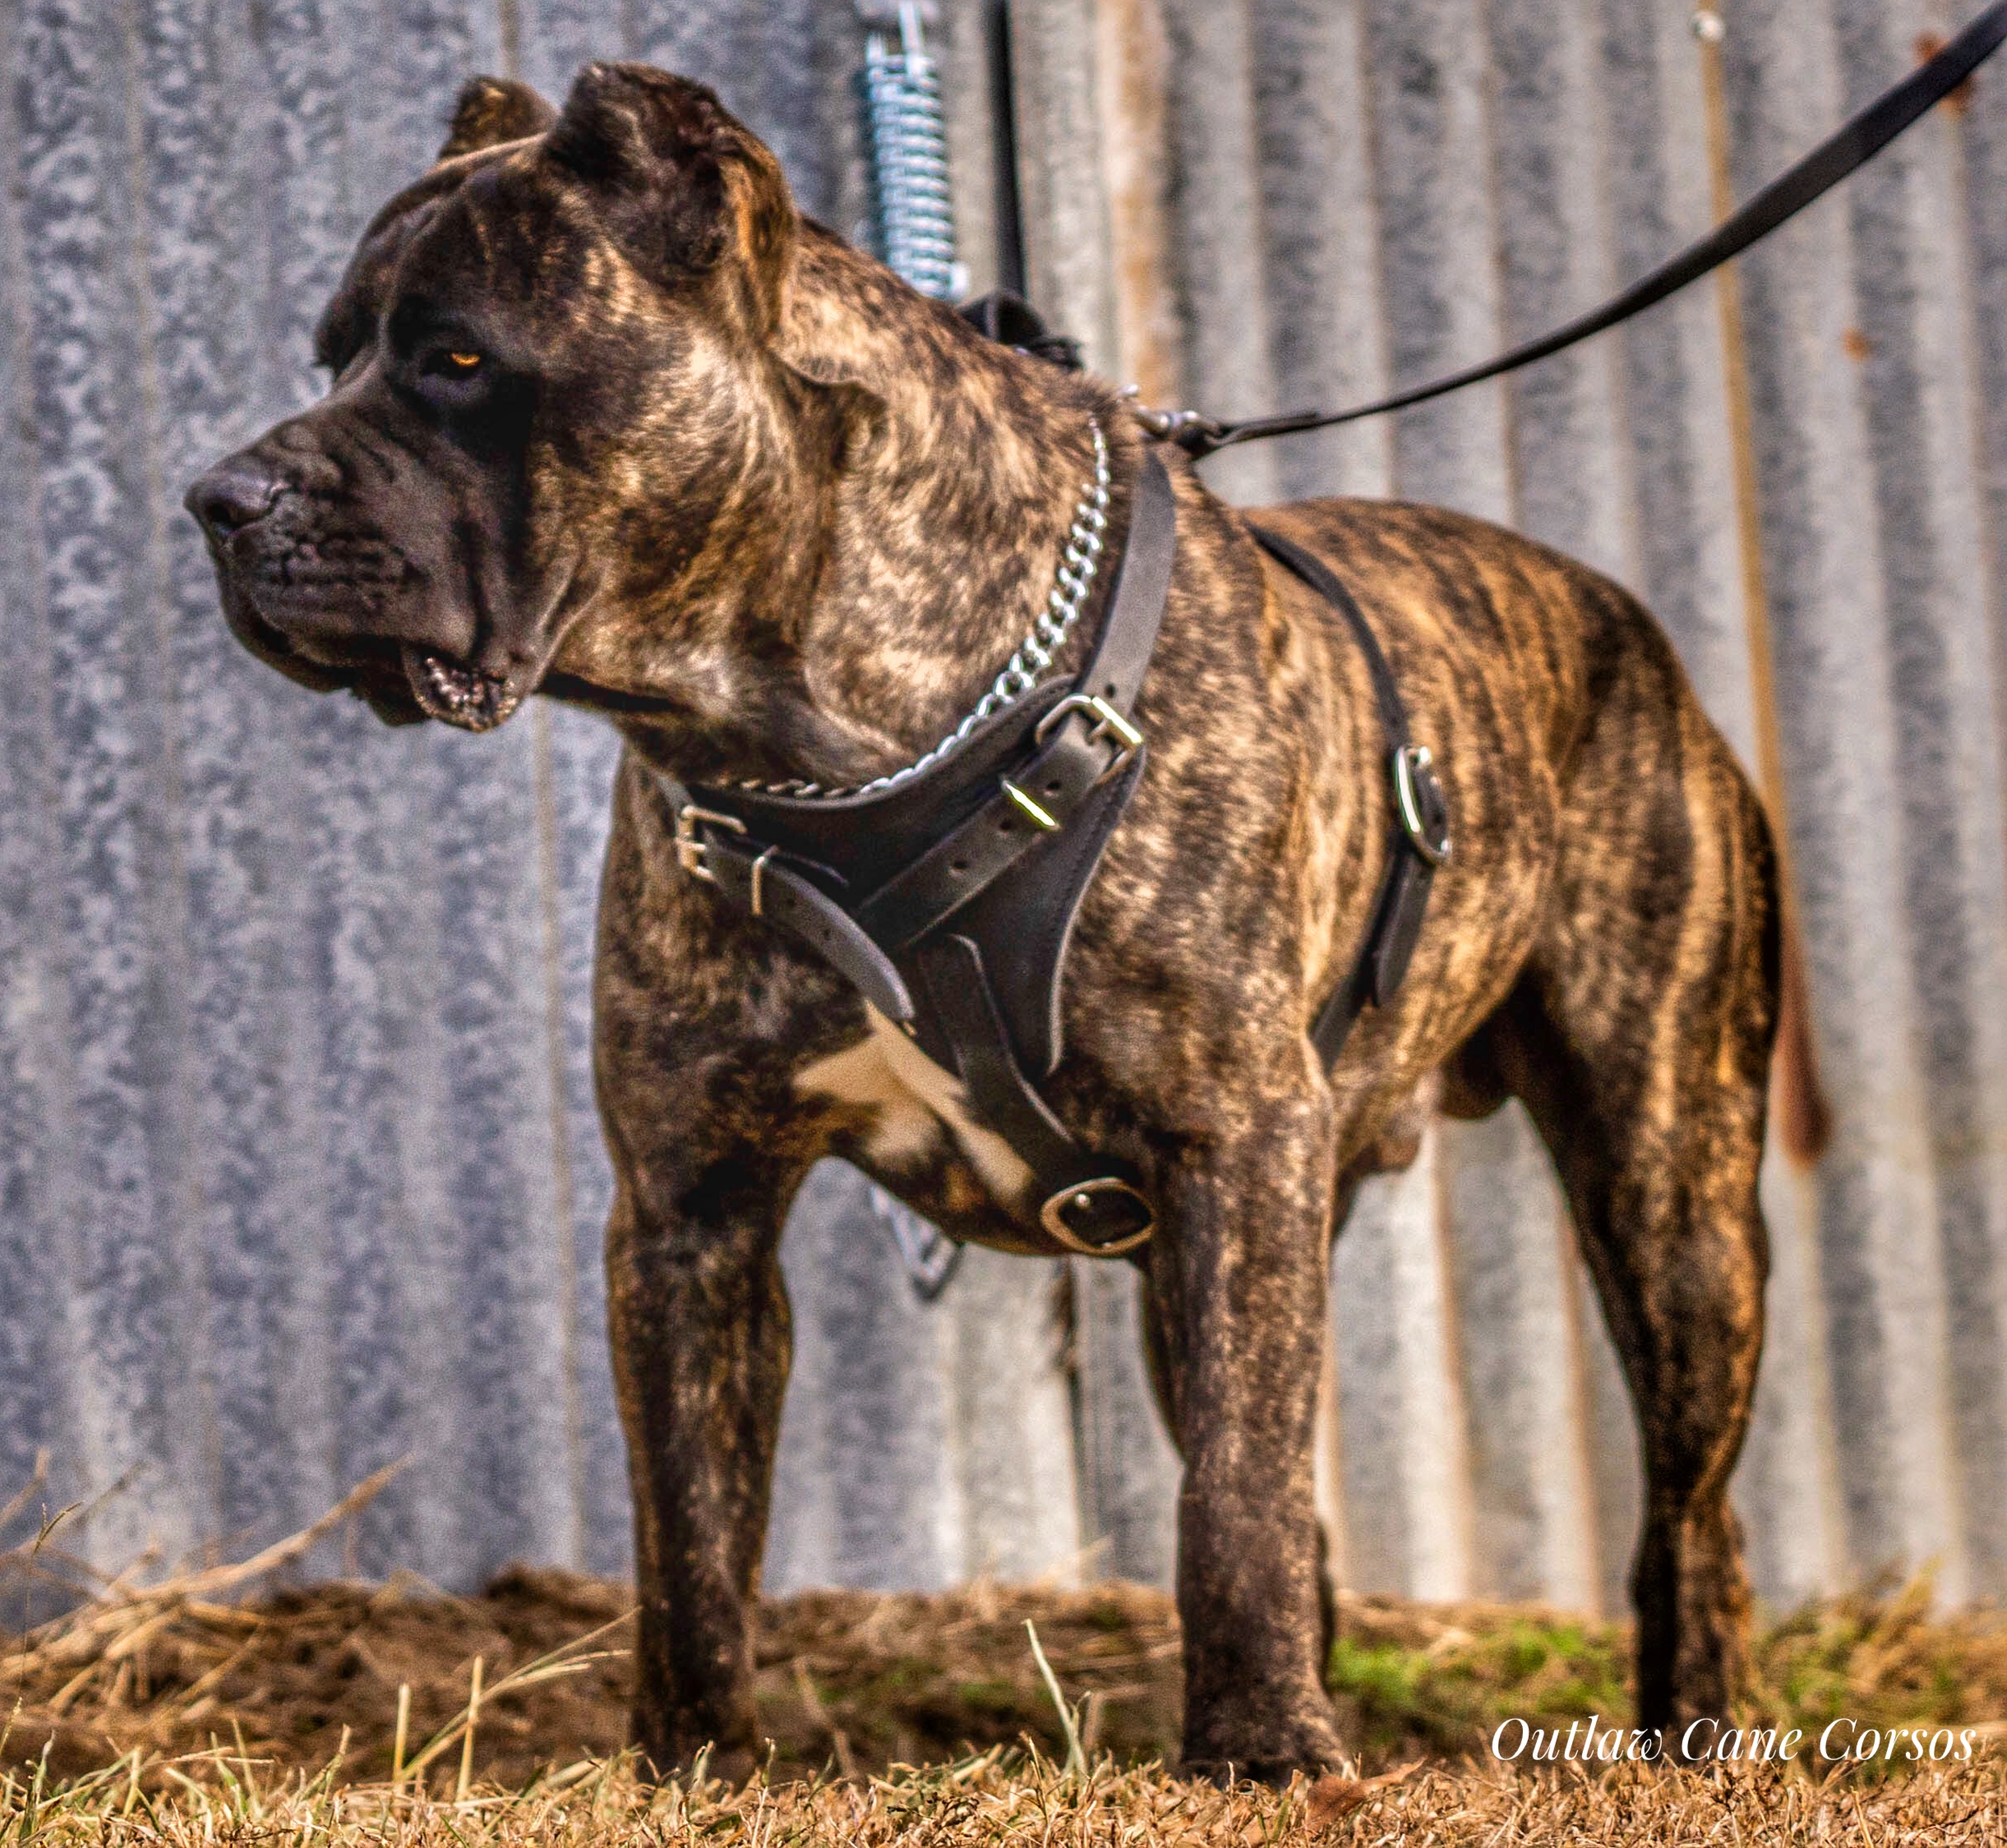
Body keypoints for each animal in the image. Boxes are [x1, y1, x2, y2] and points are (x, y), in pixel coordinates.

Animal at [188, 64, 1782, 1781]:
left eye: (460, 358)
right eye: (333, 353)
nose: (216, 498)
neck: (824, 746)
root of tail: (1621, 622)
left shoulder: (1234, 1142)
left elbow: (1230, 1495)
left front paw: (1259, 1748)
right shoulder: (690, 1206)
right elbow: (690, 1524)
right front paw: (695, 1757)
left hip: (1668, 1192)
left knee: (1685, 1509)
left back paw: (1689, 1712)